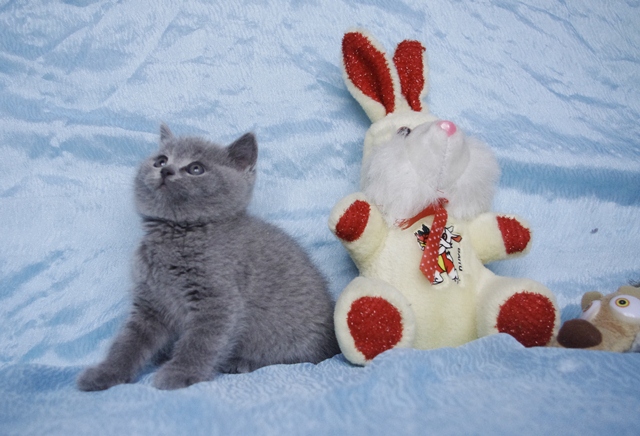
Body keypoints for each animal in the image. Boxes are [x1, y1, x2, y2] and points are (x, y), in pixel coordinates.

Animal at [77, 124, 339, 391]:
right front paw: (106, 373)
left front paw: (180, 373)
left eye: (196, 169)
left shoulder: (217, 300)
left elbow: (200, 342)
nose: (166, 170)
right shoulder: (150, 301)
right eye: (161, 160)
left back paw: (241, 362)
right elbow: (128, 342)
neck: (179, 233)